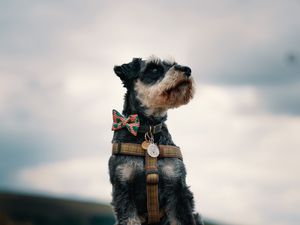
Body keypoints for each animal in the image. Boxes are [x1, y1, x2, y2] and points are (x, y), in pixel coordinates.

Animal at [108, 55, 204, 225]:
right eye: (153, 69)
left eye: (173, 64)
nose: (187, 70)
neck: (149, 130)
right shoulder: (123, 187)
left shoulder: (177, 187)